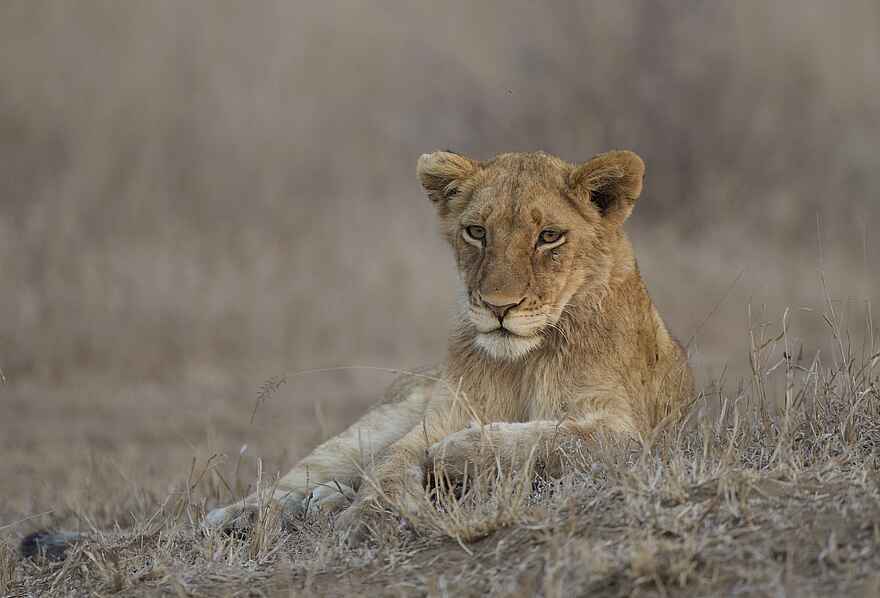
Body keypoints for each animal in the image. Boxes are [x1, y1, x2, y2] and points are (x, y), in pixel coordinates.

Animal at [22, 149, 693, 556]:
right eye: (476, 231)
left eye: (549, 236)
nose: (498, 307)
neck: (521, 359)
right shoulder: (439, 414)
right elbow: (395, 465)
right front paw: (374, 514)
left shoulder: (628, 433)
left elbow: (552, 437)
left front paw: (455, 460)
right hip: (363, 428)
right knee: (280, 488)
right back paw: (264, 514)